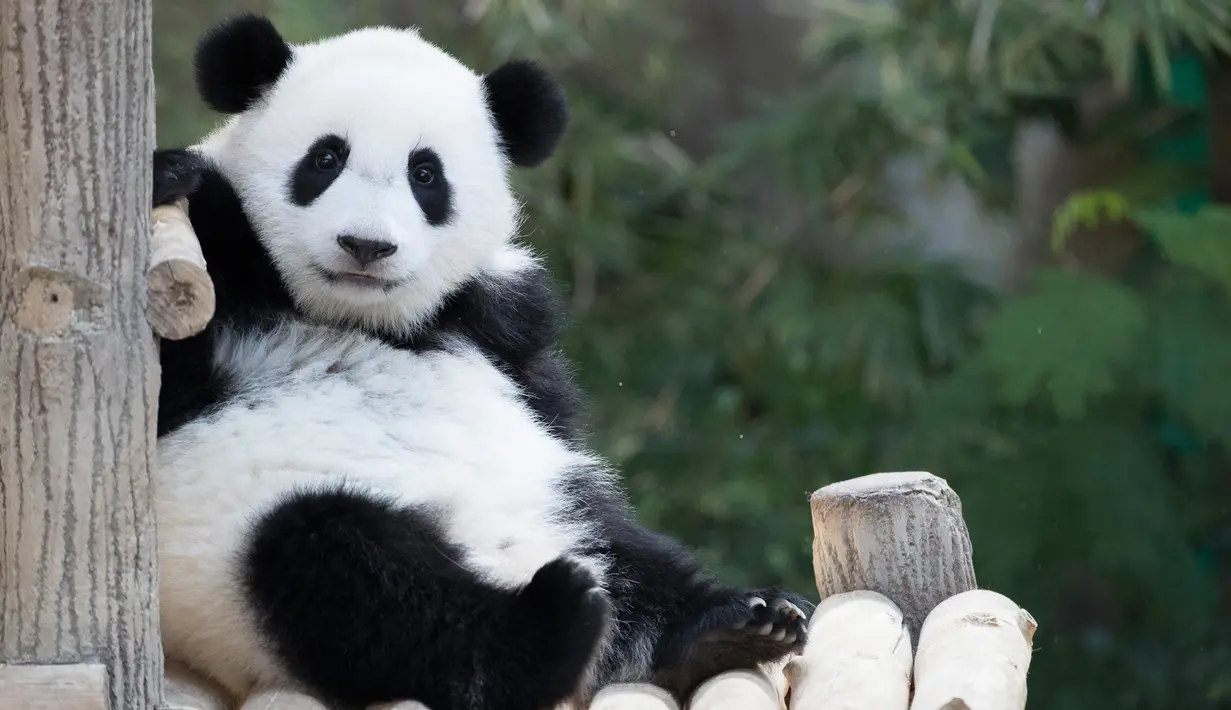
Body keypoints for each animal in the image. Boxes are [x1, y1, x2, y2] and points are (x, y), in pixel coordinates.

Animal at [151, 13, 813, 710]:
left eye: (425, 175)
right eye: (325, 159)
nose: (366, 246)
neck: (355, 317)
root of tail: (501, 555)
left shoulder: (504, 331)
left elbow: (548, 398)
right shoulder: (216, 279)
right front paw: (166, 174)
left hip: (558, 500)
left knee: (633, 558)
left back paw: (737, 625)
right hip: (247, 557)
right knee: (359, 582)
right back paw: (551, 626)